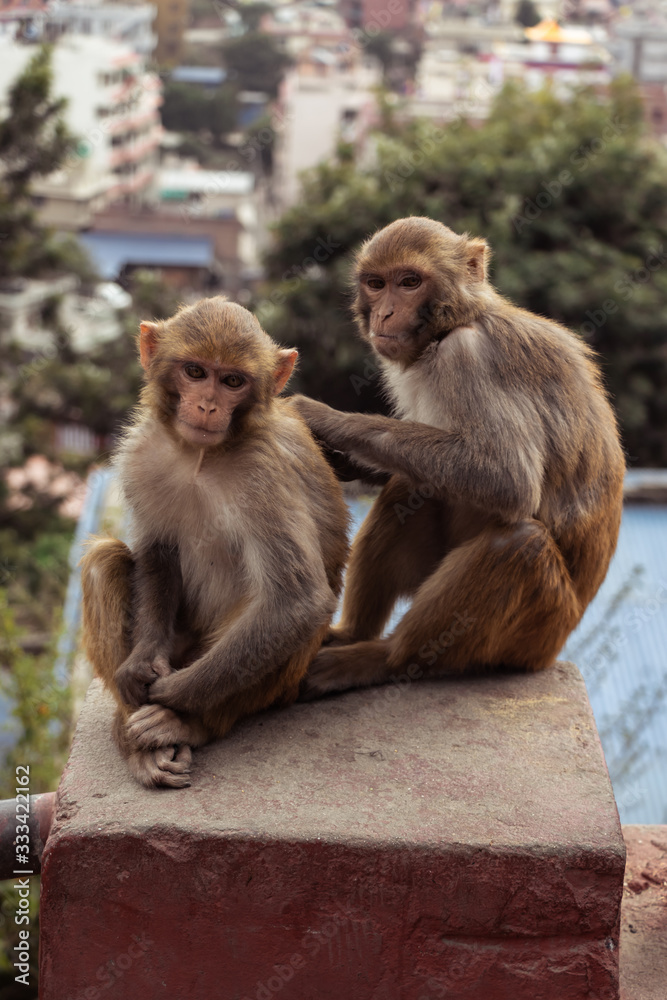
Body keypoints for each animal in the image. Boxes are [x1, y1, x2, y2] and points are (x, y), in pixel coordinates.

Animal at [80, 296, 349, 788]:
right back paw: (135, 742)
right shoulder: (142, 452)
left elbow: (298, 601)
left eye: (232, 381)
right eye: (195, 372)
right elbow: (157, 552)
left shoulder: (263, 472)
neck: (201, 456)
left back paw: (186, 724)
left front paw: (167, 695)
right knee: (102, 561)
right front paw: (140, 664)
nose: (206, 406)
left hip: (267, 680)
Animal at [290, 216, 625, 699]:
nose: (384, 314)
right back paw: (354, 634)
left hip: (533, 634)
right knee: (412, 487)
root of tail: (552, 649)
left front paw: (322, 417)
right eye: (376, 284)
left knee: (519, 545)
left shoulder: (470, 357)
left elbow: (506, 478)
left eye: (410, 282)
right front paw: (339, 459)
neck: (454, 325)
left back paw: (382, 659)